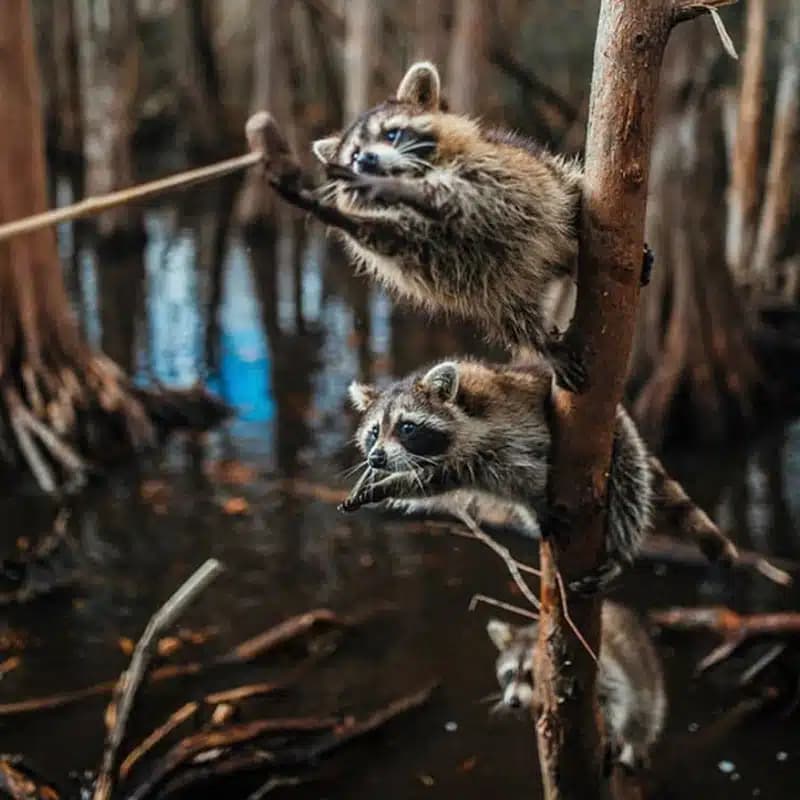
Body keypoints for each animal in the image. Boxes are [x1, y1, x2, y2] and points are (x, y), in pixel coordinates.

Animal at [488, 604, 668, 772]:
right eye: (510, 673)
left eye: (532, 674)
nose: (513, 701)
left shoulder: (600, 666)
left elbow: (617, 694)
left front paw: (611, 730)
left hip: (648, 675)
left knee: (644, 714)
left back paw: (634, 747)